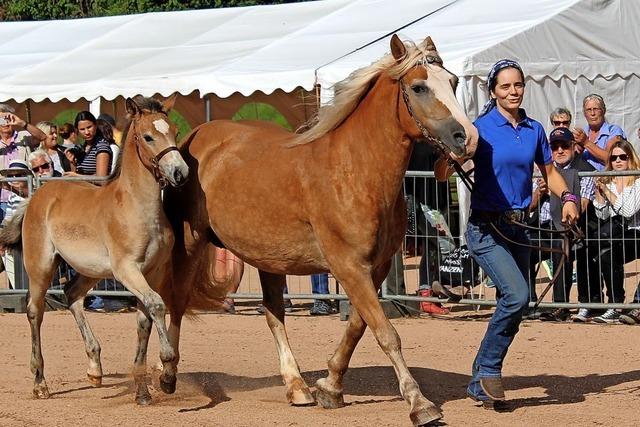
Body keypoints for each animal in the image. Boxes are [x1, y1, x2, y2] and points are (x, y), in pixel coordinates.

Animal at [0, 96, 188, 404]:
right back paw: (40, 382)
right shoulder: (127, 270)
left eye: (175, 131)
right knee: (34, 311)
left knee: (72, 294)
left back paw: (95, 367)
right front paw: (167, 372)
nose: (180, 173)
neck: (138, 209)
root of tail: (36, 196)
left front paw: (142, 391)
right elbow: (157, 305)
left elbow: (145, 320)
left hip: (90, 270)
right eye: (148, 137)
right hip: (40, 266)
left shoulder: (154, 272)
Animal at [164, 35, 476, 426]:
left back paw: (297, 386)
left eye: (452, 81)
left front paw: (330, 386)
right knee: (174, 302)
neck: (355, 170)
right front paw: (419, 403)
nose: (467, 138)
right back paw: (164, 374)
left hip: (269, 259)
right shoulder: (348, 266)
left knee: (273, 314)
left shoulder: (374, 269)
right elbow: (386, 333)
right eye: (419, 86)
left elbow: (358, 326)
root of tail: (194, 138)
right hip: (190, 245)